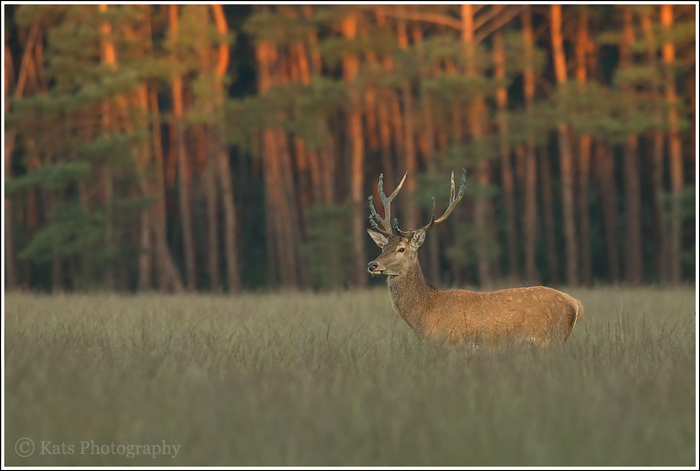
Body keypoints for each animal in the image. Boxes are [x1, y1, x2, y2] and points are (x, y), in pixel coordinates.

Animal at [367, 169, 583, 348]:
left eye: (401, 249)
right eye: (383, 247)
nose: (372, 264)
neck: (426, 314)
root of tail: (575, 304)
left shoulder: (454, 344)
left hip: (551, 339)